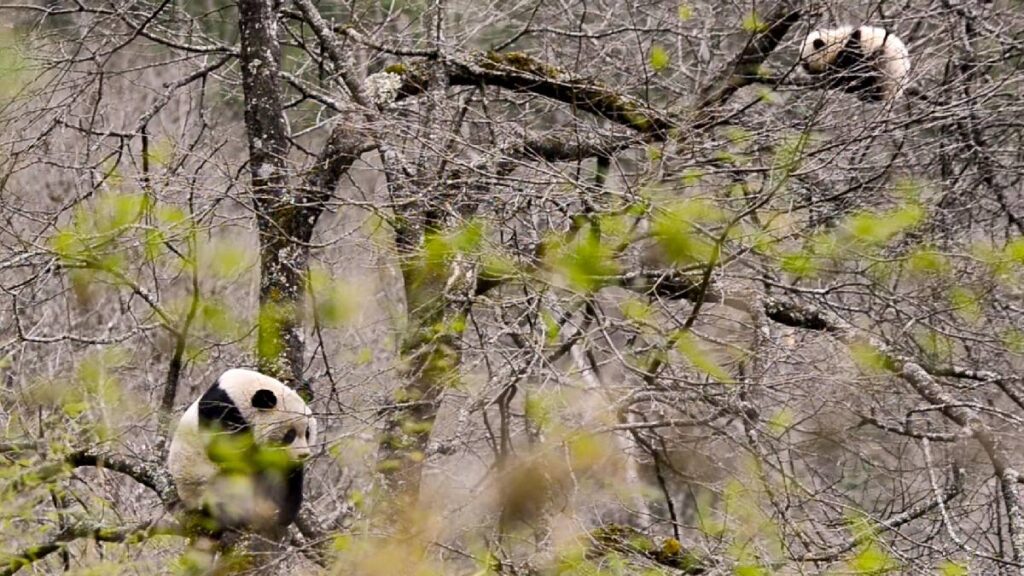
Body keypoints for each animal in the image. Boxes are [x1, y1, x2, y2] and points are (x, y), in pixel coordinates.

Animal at [167, 368, 317, 535]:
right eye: (290, 435)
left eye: (307, 433)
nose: (303, 454)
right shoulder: (221, 412)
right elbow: (228, 454)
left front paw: (285, 513)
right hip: (203, 483)